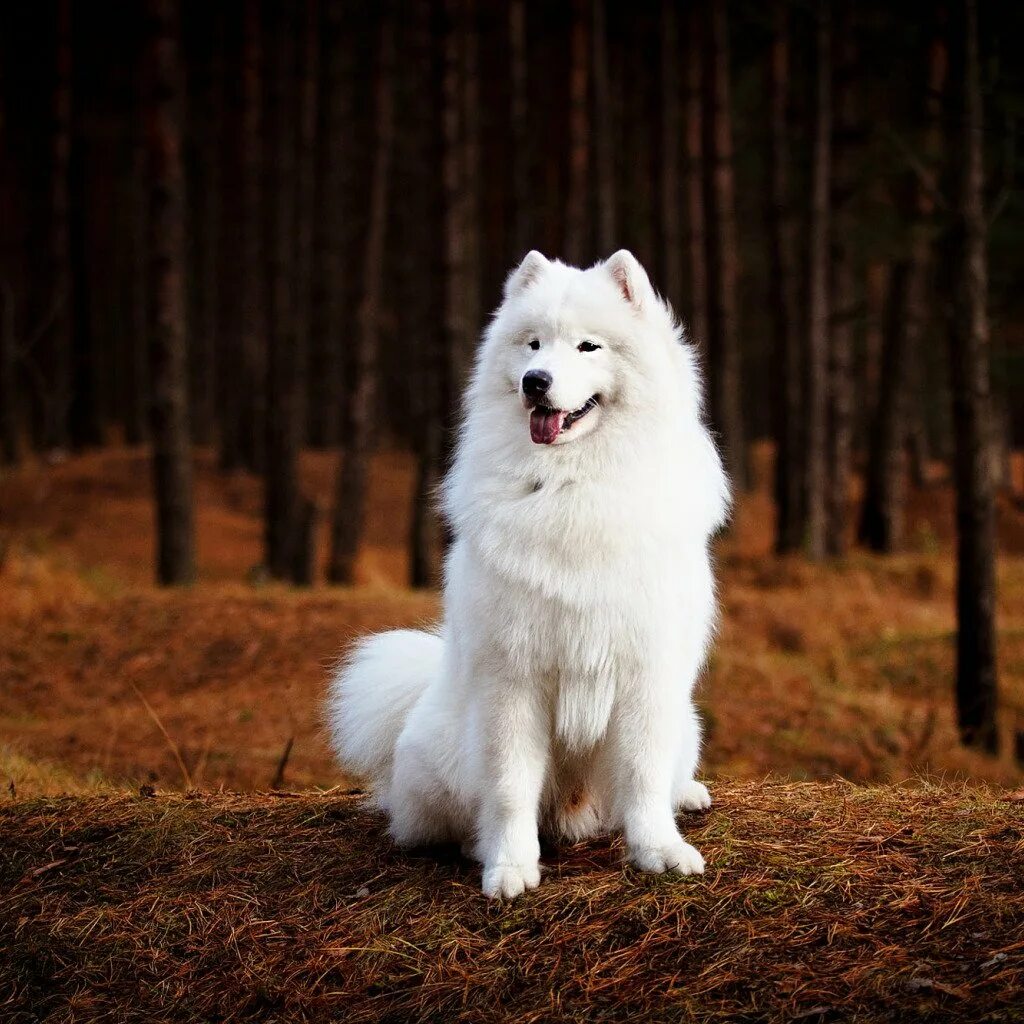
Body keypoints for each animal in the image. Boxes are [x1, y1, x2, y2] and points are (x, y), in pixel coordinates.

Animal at [327, 247, 729, 897]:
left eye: (588, 347)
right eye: (533, 345)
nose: (534, 381)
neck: (572, 484)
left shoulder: (646, 672)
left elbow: (643, 776)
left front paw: (659, 850)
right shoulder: (513, 679)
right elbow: (512, 786)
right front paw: (510, 867)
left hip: (685, 720)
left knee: (665, 774)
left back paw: (687, 794)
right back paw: (474, 843)